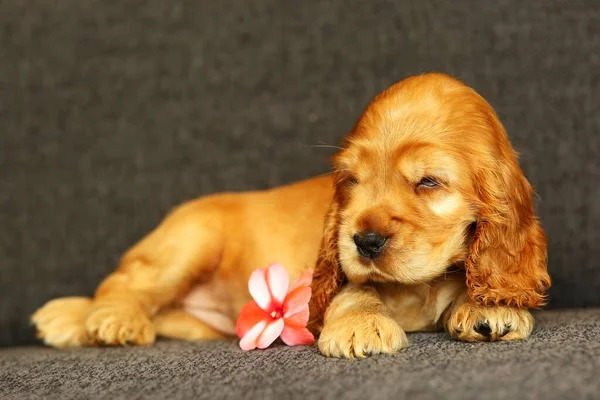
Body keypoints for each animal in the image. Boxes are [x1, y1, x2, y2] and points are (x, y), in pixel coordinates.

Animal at [31, 73, 548, 358]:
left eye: (428, 182)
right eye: (351, 181)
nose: (365, 242)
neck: (420, 285)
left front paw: (488, 306)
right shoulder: (333, 275)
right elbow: (356, 291)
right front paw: (362, 324)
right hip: (188, 242)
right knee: (123, 285)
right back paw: (108, 319)